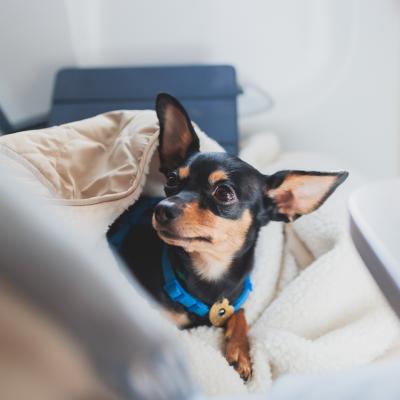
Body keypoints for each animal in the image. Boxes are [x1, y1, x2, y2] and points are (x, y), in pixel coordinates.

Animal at [108, 92, 348, 380]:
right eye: (172, 181)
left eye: (224, 193)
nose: (162, 209)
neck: (211, 271)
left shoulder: (232, 302)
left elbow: (240, 313)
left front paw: (240, 351)